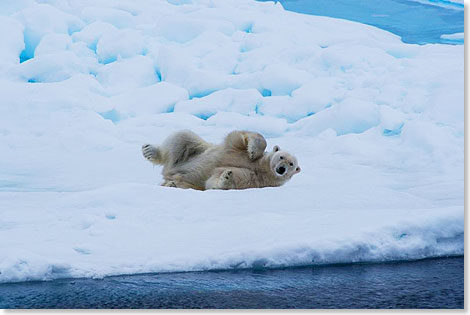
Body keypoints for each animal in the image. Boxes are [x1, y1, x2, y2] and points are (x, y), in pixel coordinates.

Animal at [141, 130, 302, 191]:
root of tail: (168, 174)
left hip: (190, 184)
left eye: (291, 164)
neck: (261, 168)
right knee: (182, 137)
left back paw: (171, 184)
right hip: (194, 152)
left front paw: (227, 176)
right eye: (281, 157)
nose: (281, 169)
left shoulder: (255, 180)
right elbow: (239, 138)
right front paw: (253, 150)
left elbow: (215, 181)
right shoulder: (235, 150)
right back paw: (150, 151)